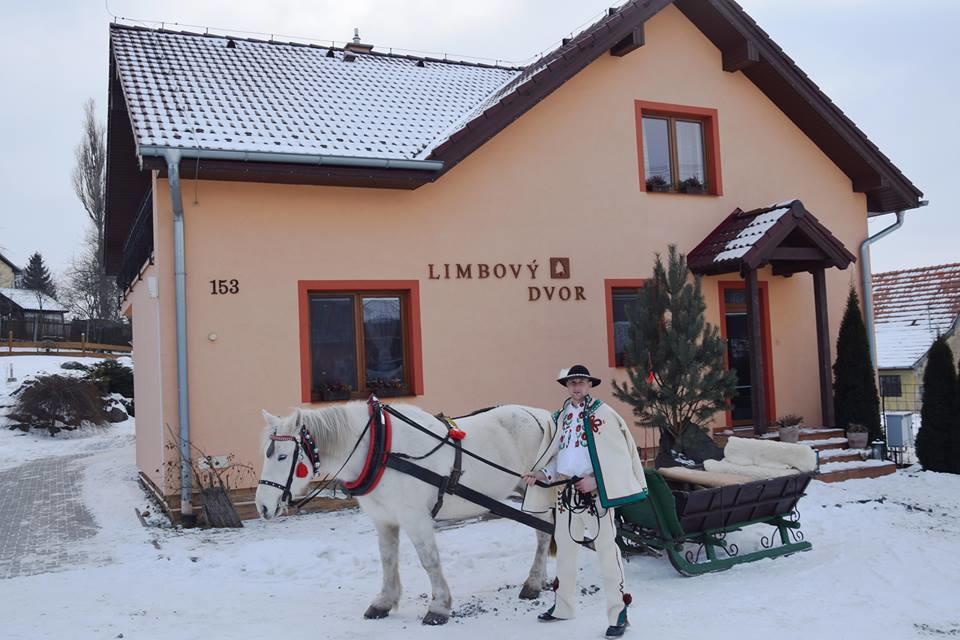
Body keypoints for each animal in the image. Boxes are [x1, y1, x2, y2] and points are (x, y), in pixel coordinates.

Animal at [255, 402, 556, 628]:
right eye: (266, 455)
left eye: (282, 456)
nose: (262, 507)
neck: (380, 449)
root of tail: (542, 415)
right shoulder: (383, 519)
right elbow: (388, 559)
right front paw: (383, 602)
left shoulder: (416, 518)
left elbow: (429, 561)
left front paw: (439, 607)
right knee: (545, 531)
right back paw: (542, 579)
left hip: (536, 491)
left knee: (543, 534)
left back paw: (532, 583)